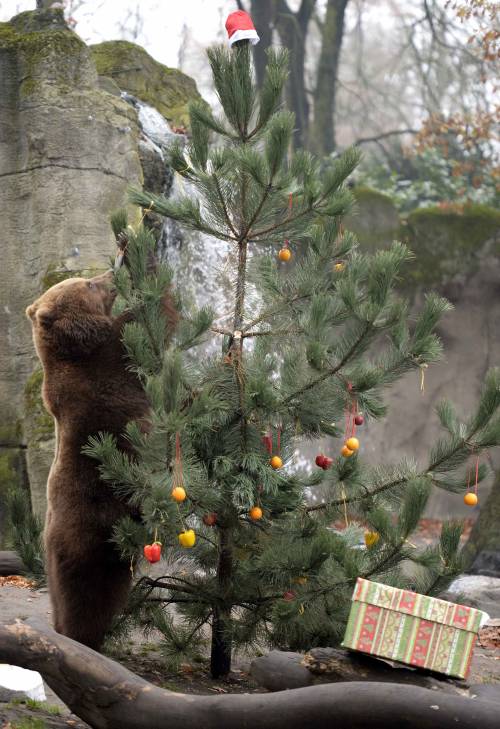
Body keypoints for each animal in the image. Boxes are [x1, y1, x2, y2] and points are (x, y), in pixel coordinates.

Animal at [26, 268, 158, 648]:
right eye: (87, 284)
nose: (111, 272)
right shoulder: (100, 370)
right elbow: (133, 334)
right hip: (92, 525)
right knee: (87, 593)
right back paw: (82, 636)